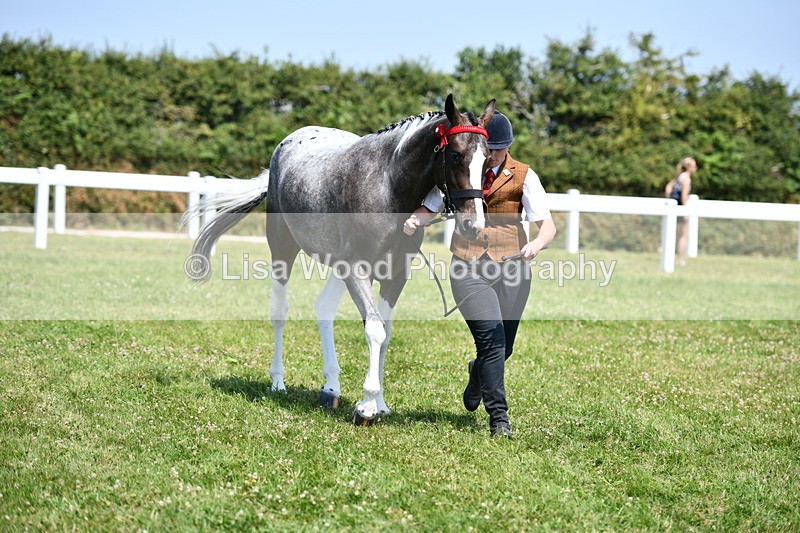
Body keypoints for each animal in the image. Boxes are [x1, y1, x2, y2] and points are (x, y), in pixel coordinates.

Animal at [185, 94, 495, 425]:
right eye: (456, 156)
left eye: (488, 160)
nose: (473, 224)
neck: (387, 187)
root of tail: (285, 146)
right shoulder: (359, 269)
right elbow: (374, 329)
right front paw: (367, 406)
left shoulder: (394, 275)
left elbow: (385, 334)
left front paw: (379, 403)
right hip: (283, 250)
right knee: (279, 312)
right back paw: (278, 381)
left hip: (340, 267)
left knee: (323, 309)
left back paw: (331, 388)